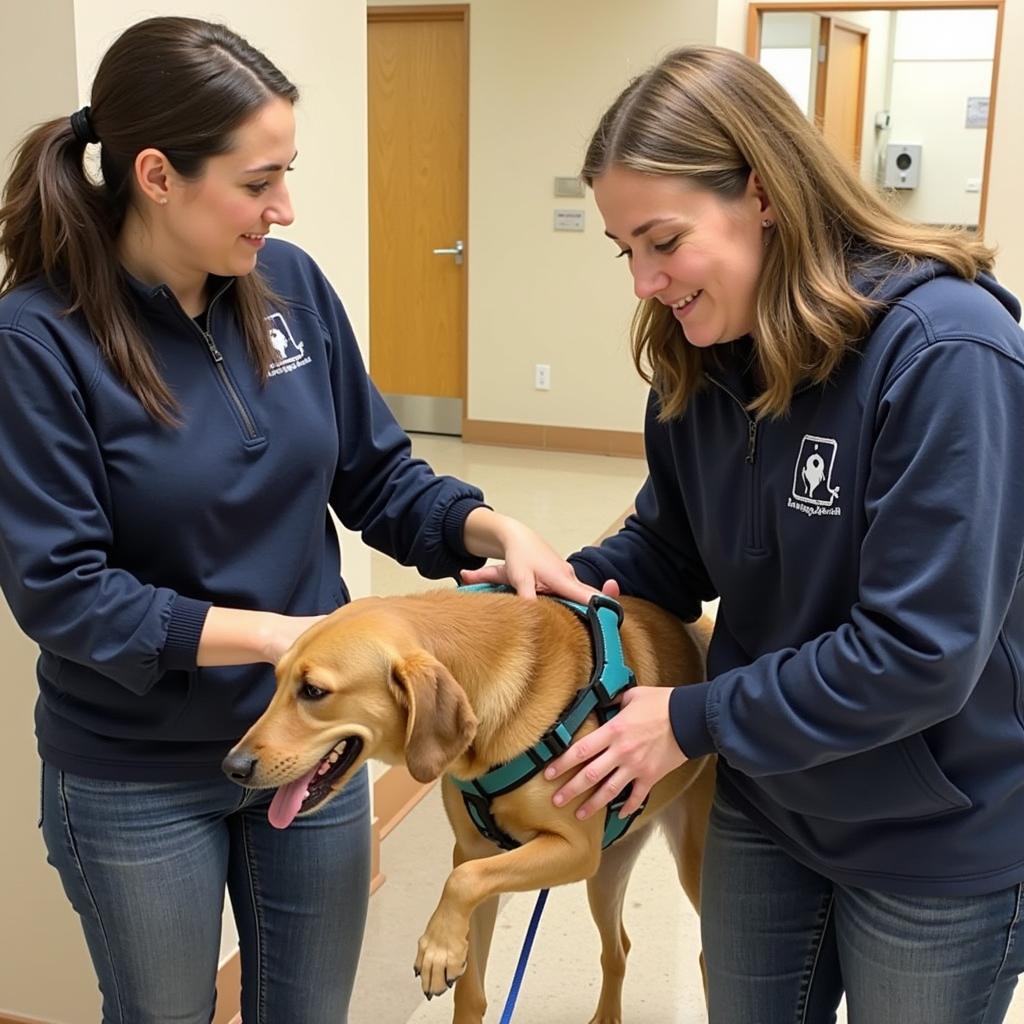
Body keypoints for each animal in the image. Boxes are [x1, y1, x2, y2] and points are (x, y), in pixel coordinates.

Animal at [224, 589, 712, 1019]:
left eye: (313, 691)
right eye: (276, 680)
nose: (233, 767)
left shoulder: (574, 848)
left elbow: (462, 881)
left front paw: (437, 948)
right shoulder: (478, 850)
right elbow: (470, 984)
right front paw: (450, 953)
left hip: (683, 868)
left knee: (706, 955)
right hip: (608, 872)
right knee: (618, 948)